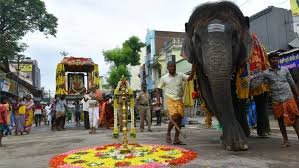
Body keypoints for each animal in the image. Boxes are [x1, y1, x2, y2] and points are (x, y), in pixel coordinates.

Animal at [182, 0, 274, 151]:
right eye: (197, 39)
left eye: (234, 36)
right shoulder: (198, 62)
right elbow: (208, 92)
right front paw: (232, 142)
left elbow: (236, 94)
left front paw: (238, 144)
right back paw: (247, 133)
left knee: (260, 95)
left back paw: (264, 134)